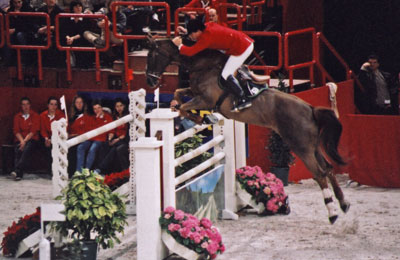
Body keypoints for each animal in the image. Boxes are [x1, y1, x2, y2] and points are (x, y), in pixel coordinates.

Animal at [146, 37, 350, 224]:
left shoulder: (206, 100)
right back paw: (344, 204)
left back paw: (333, 213)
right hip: (312, 146)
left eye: (152, 55)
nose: (150, 81)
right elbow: (179, 93)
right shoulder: (197, 95)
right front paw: (201, 116)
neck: (202, 65)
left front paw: (204, 118)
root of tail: (310, 109)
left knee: (319, 174)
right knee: (328, 168)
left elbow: (183, 106)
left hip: (301, 147)